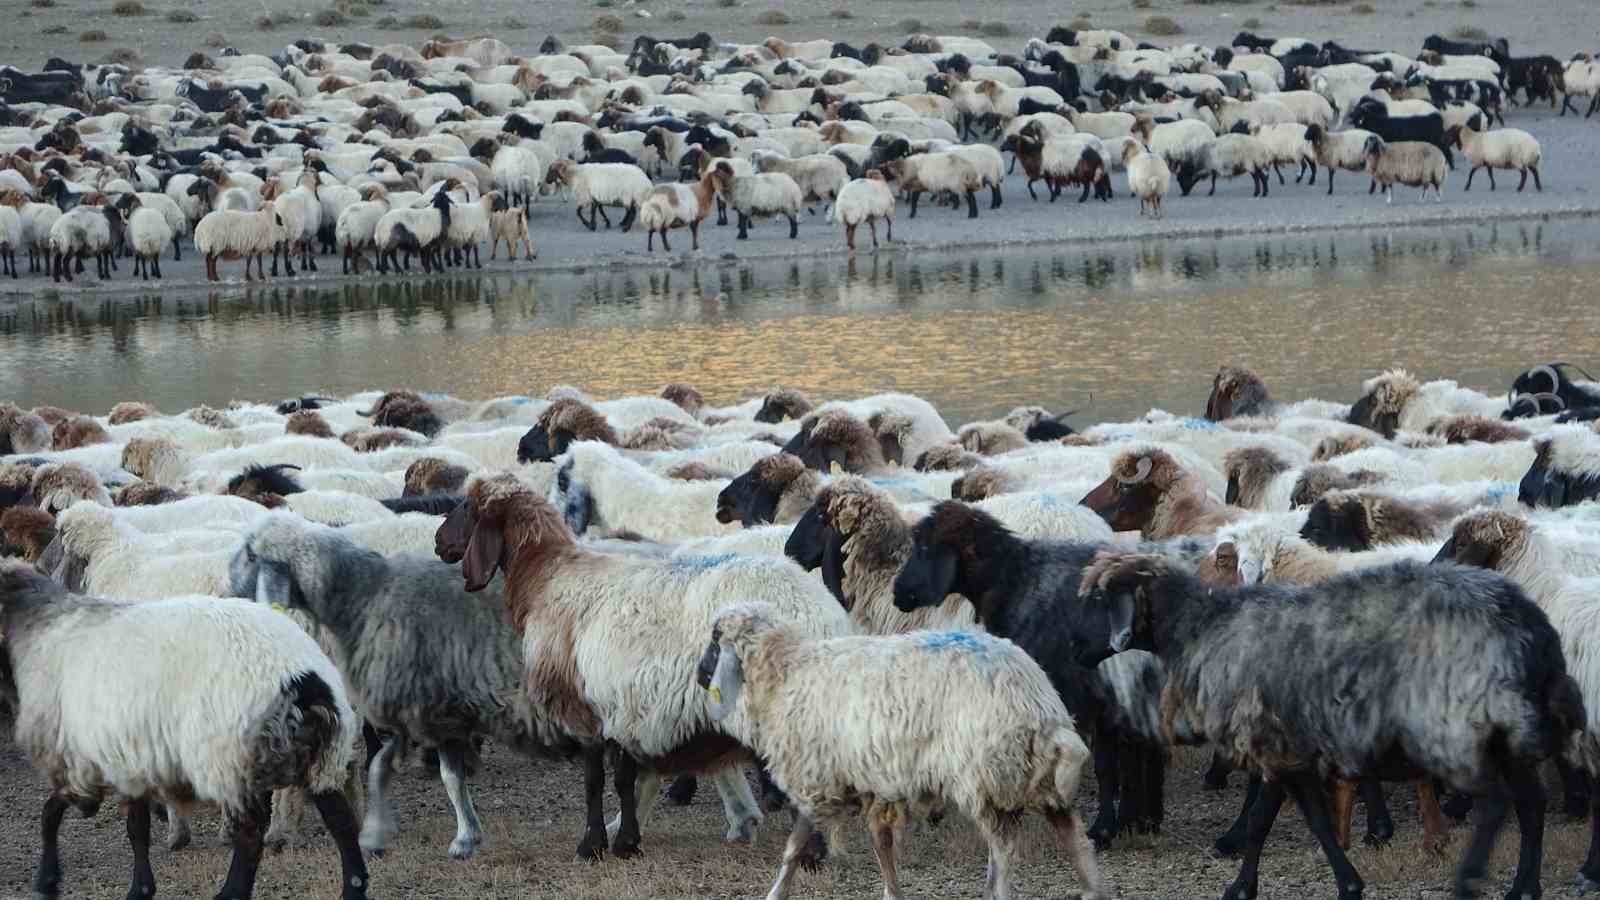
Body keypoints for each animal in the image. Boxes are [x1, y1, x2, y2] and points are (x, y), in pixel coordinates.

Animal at [1, 560, 368, 896]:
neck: (39, 631)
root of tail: (302, 680)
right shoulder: (128, 758)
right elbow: (135, 828)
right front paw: (141, 887)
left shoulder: (77, 760)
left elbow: (52, 812)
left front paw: (48, 879)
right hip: (321, 757)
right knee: (341, 820)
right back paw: (354, 886)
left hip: (230, 759)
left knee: (251, 834)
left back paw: (231, 893)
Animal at [1075, 550, 1574, 900]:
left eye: (1103, 600)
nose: (1079, 651)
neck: (1202, 627)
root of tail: (1531, 625)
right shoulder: (1290, 749)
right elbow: (1312, 819)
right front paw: (1347, 883)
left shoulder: (1269, 742)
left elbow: (1259, 823)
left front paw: (1239, 887)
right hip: (1507, 732)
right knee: (1531, 804)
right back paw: (1524, 888)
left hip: (1455, 726)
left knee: (1496, 803)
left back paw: (1469, 879)